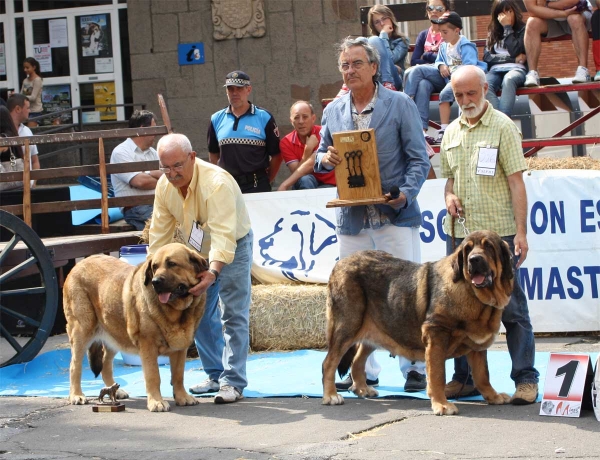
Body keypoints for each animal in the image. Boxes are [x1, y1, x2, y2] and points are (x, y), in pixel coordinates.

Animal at [63, 243, 209, 412]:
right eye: (154, 267)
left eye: (172, 264)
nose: (155, 282)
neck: (176, 310)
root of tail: (78, 264)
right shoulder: (148, 346)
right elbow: (154, 376)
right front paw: (156, 402)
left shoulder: (180, 349)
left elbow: (178, 375)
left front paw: (182, 397)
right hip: (82, 331)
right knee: (75, 366)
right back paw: (76, 395)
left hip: (115, 334)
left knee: (105, 365)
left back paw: (115, 390)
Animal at [324, 232, 516, 416]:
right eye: (468, 249)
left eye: (489, 246)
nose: (474, 259)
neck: (475, 294)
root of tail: (340, 264)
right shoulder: (436, 334)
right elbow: (437, 375)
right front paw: (442, 404)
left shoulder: (476, 346)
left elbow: (483, 374)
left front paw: (493, 396)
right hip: (347, 328)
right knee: (329, 362)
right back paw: (331, 396)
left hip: (375, 330)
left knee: (357, 361)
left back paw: (363, 389)